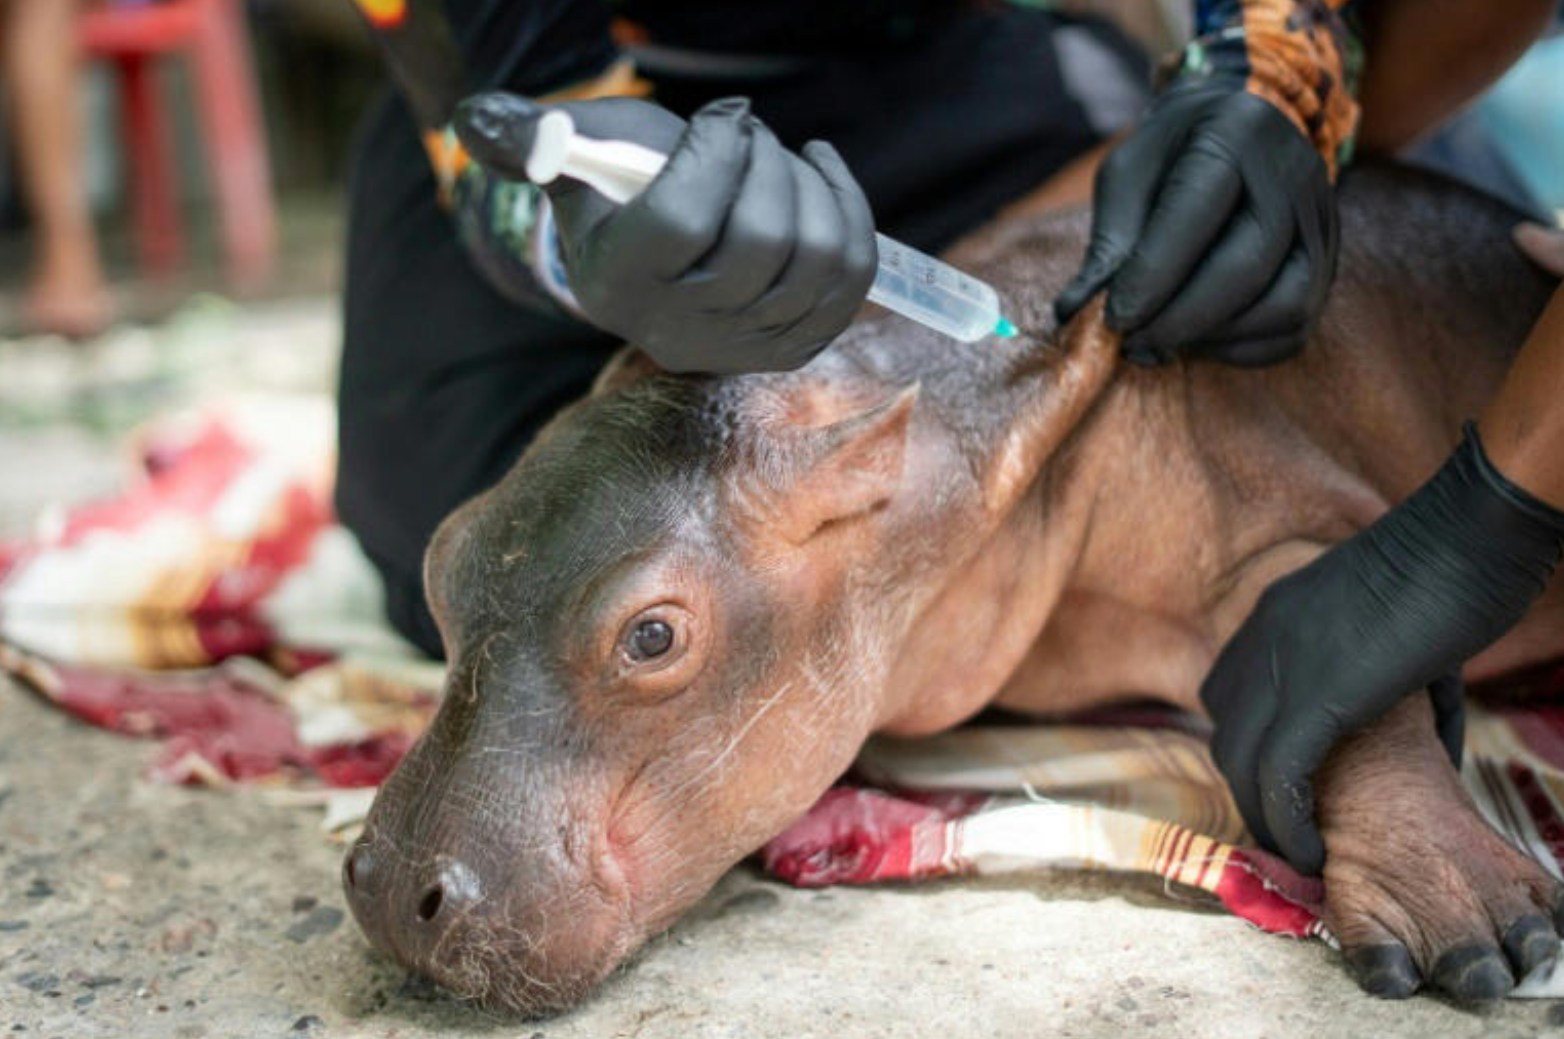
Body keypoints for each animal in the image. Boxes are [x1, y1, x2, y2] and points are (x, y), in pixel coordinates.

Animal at [342, 163, 1564, 1013]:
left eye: (650, 637)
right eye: (446, 557)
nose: (394, 889)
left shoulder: (1288, 498)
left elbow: (1348, 674)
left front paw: (1474, 928)